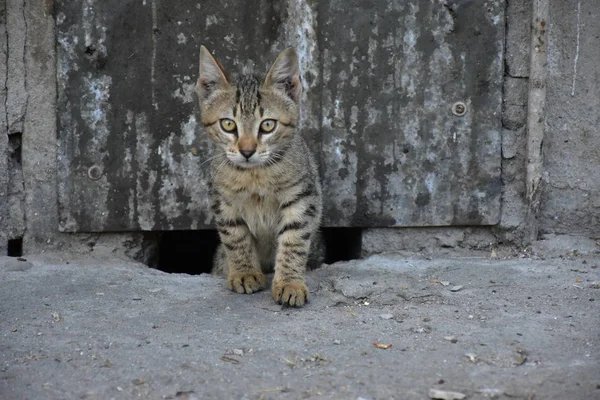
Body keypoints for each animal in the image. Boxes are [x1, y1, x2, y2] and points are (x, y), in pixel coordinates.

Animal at [196, 45, 324, 306]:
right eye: (228, 124)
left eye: (267, 125)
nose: (247, 151)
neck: (254, 176)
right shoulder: (223, 201)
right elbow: (235, 237)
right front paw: (245, 273)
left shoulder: (302, 198)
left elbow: (294, 240)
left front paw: (290, 283)